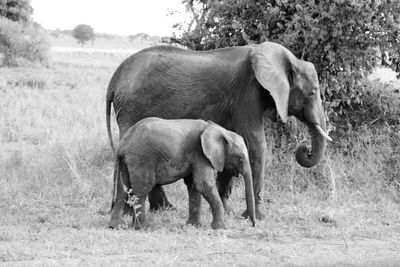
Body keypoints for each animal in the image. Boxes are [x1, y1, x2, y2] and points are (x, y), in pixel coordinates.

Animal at [108, 118, 256, 230]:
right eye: (241, 157)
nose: (253, 224)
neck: (219, 129)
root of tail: (122, 145)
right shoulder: (201, 154)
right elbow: (204, 184)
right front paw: (219, 228)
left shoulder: (196, 156)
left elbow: (194, 186)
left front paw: (194, 226)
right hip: (142, 159)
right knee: (142, 189)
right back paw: (143, 227)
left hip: (126, 161)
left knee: (123, 189)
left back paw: (116, 226)